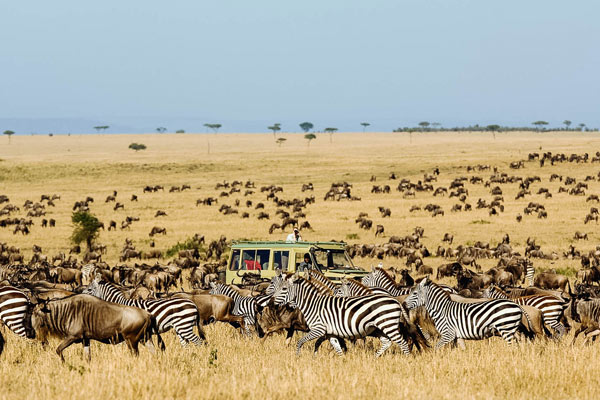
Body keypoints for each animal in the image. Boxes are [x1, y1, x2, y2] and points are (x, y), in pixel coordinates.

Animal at [274, 272, 410, 356]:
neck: (313, 304)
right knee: (387, 342)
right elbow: (336, 348)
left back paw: (407, 361)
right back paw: (375, 358)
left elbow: (300, 341)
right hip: (379, 328)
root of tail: (396, 301)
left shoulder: (318, 329)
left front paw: (298, 356)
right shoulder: (330, 332)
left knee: (402, 343)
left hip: (387, 325)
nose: (273, 301)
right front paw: (342, 360)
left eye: (284, 289)